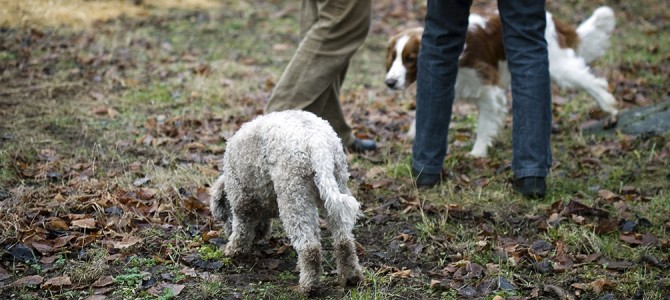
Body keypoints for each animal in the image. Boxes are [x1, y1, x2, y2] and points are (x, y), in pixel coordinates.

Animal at [213, 109, 364, 292]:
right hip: (335, 184)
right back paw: (350, 277)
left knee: (310, 248)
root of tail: (317, 142)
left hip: (292, 195)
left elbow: (242, 227)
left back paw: (308, 286)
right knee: (344, 241)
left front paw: (234, 250)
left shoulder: (242, 198)